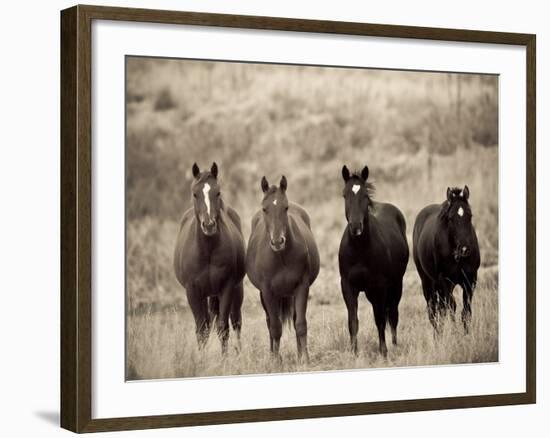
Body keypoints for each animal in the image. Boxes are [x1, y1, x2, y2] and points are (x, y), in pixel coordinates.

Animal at [175, 163, 246, 354]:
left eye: (218, 192)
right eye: (195, 193)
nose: (208, 225)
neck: (207, 251)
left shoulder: (226, 287)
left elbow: (223, 328)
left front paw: (225, 358)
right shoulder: (192, 291)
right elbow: (201, 329)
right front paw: (202, 358)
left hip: (236, 290)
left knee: (236, 321)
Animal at [248, 176, 322, 362]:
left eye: (285, 207)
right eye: (265, 209)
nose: (277, 241)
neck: (281, 257)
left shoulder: (302, 287)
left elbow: (300, 324)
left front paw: (305, 359)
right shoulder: (267, 292)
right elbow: (275, 328)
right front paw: (275, 361)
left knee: (295, 320)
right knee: (270, 322)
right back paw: (273, 354)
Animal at [338, 164, 412, 356]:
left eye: (365, 195)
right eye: (345, 194)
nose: (356, 227)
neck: (359, 250)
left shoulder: (379, 286)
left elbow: (380, 320)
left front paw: (383, 351)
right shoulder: (348, 287)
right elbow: (353, 322)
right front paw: (354, 353)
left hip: (395, 285)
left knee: (392, 315)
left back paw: (394, 345)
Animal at [412, 185, 480, 332]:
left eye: (470, 216)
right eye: (450, 218)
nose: (464, 249)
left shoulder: (470, 280)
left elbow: (466, 311)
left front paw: (466, 334)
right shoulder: (445, 281)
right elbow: (451, 307)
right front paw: (455, 333)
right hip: (427, 282)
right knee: (433, 311)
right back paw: (438, 335)